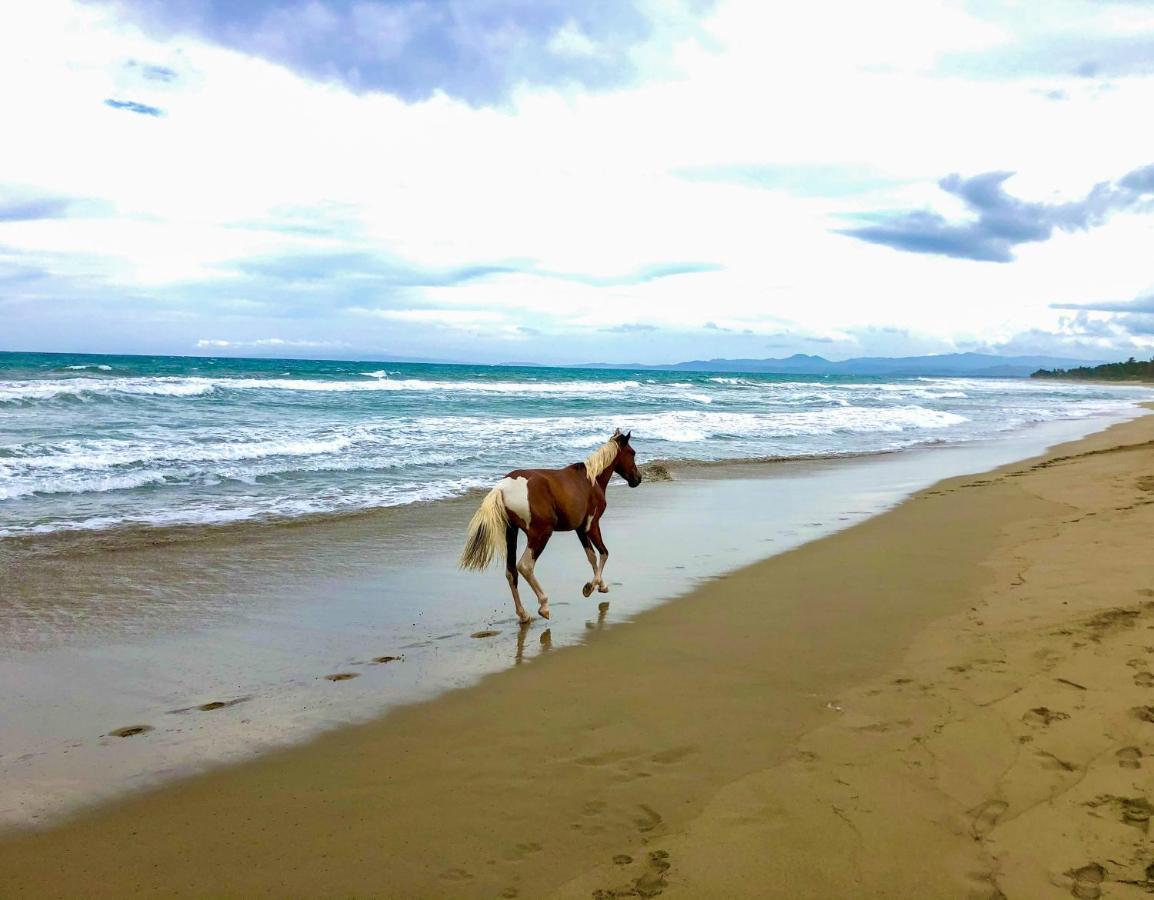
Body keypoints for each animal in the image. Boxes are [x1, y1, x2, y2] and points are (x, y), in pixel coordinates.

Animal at [456, 431, 641, 623]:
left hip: (511, 533)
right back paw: (544, 605)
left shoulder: (580, 529)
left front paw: (600, 585)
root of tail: (503, 487)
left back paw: (523, 614)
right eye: (632, 452)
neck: (591, 480)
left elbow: (591, 557)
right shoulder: (592, 525)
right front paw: (591, 587)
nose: (638, 479)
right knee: (525, 566)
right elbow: (604, 553)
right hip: (541, 534)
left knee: (511, 571)